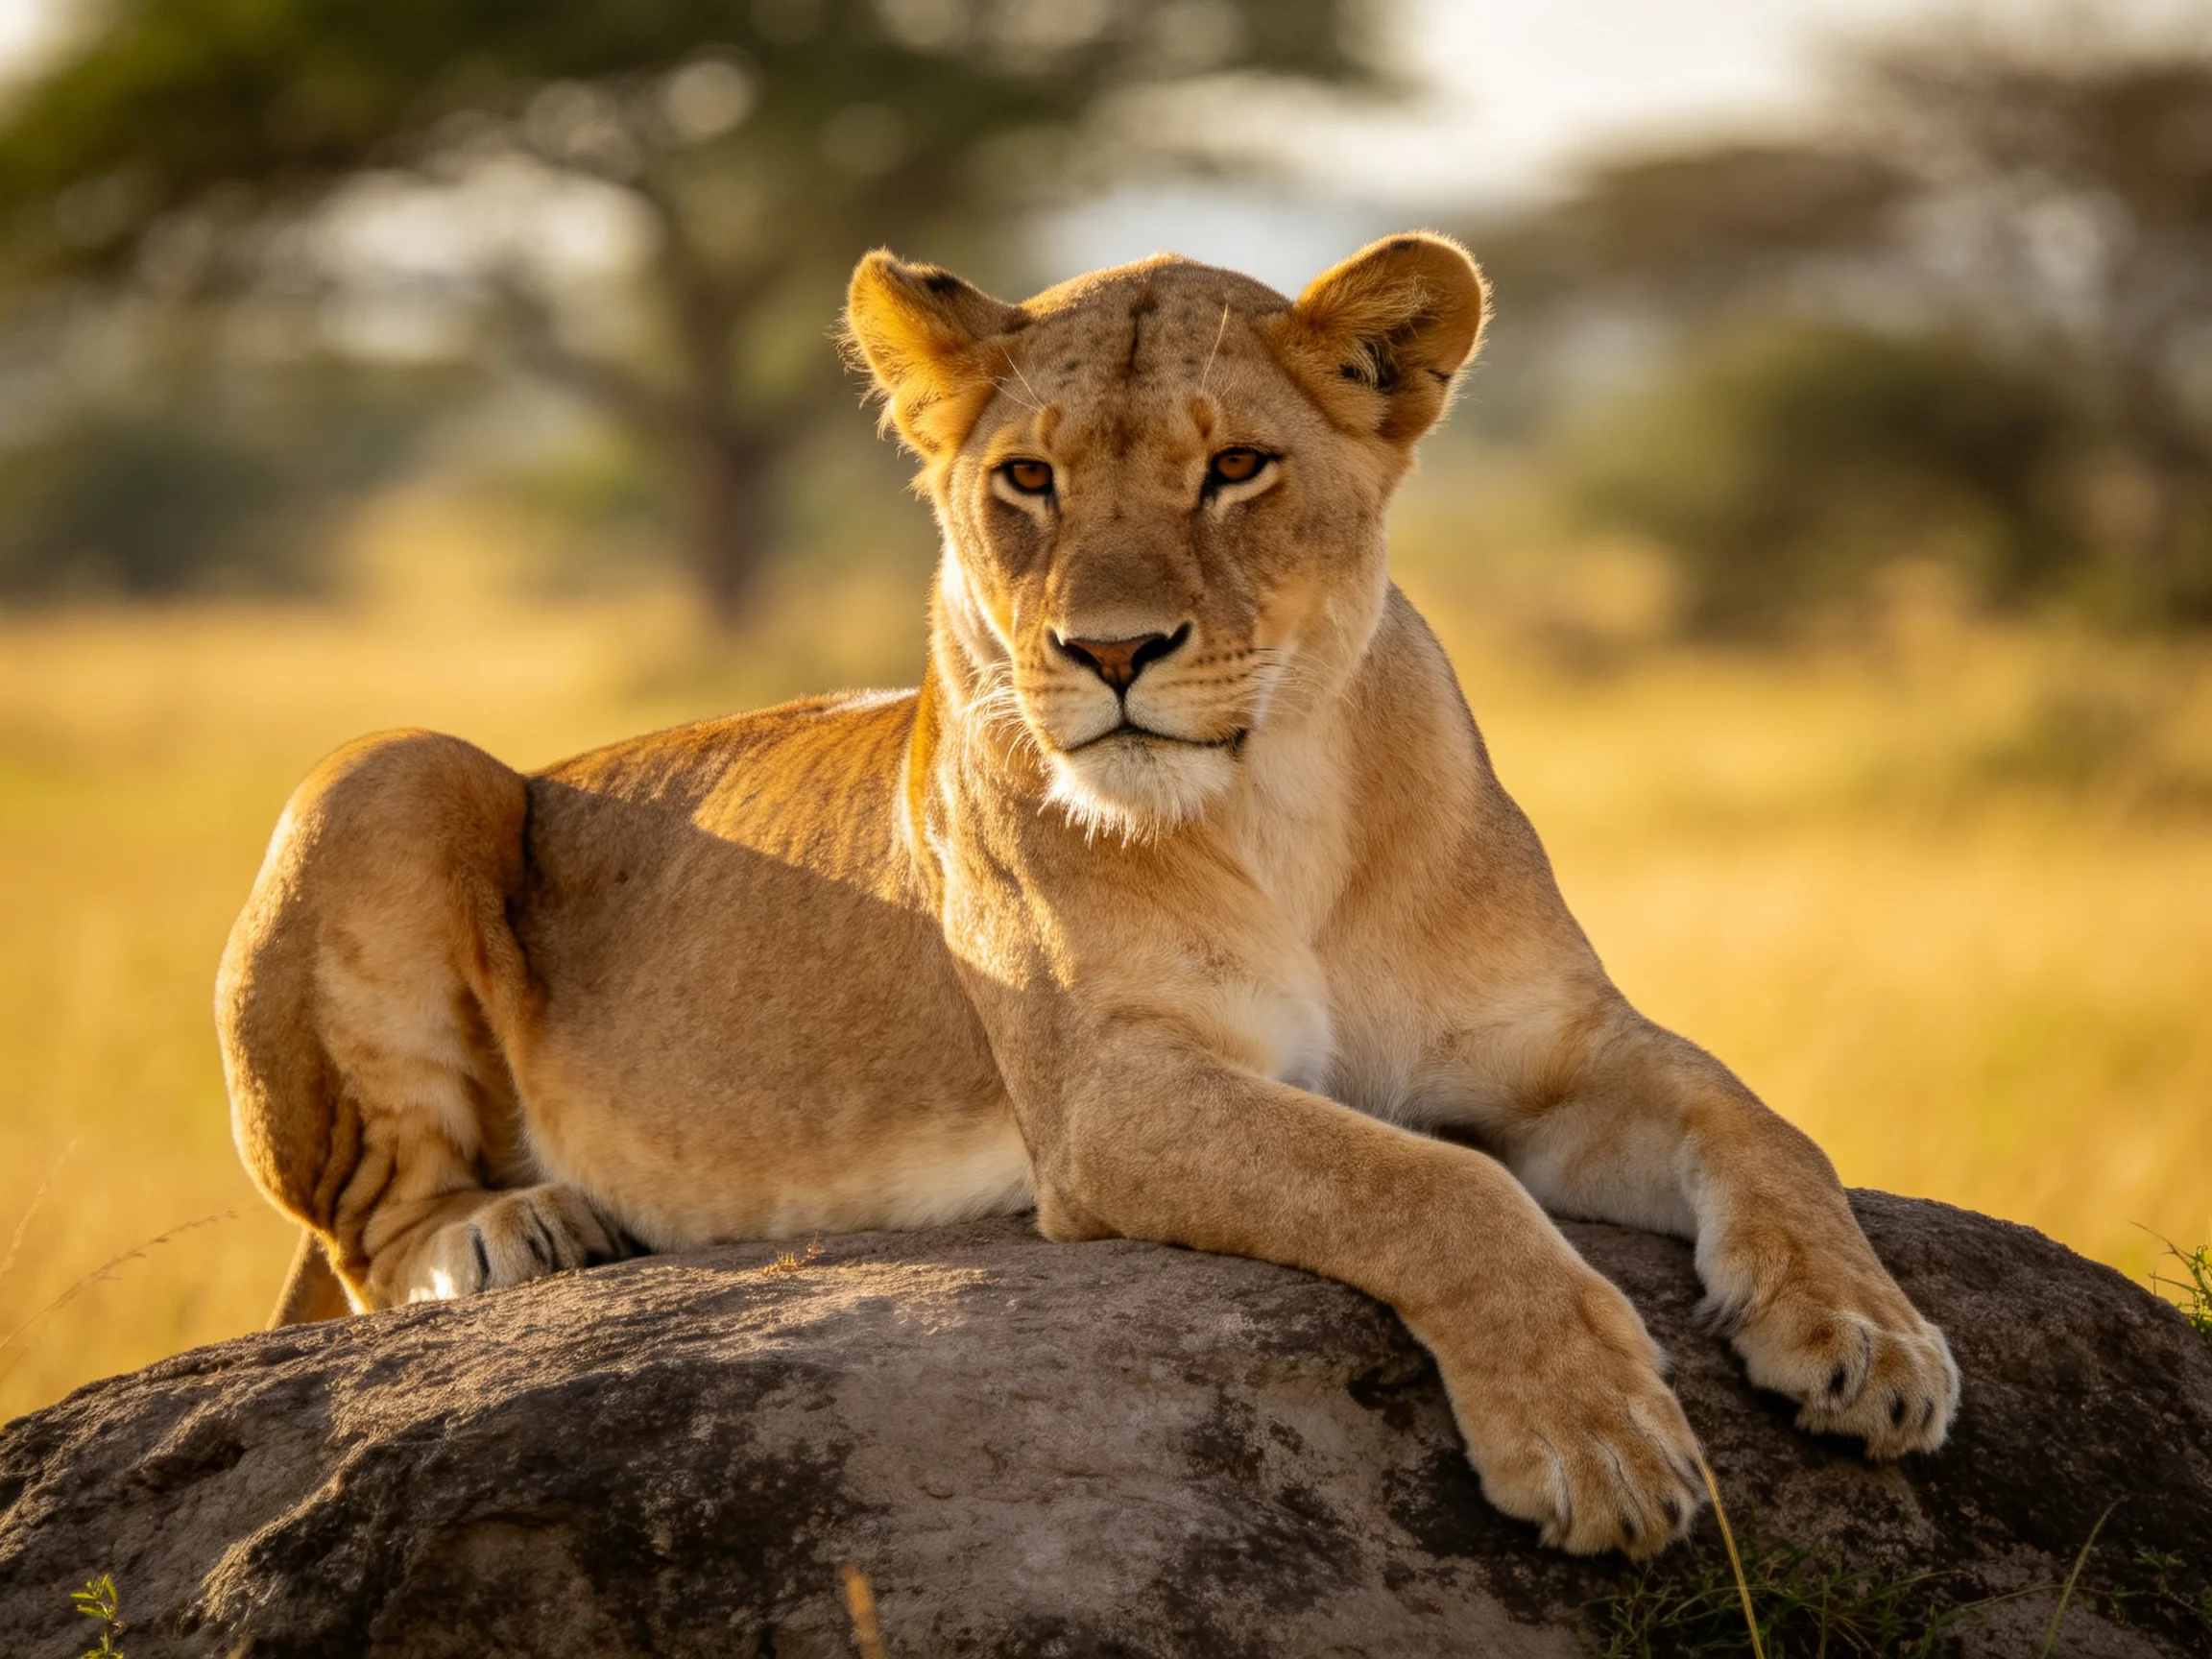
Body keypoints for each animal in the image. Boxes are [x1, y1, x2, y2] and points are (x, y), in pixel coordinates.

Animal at [216, 232, 1958, 1557]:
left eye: (1236, 467)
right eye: (1029, 480)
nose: (1111, 652)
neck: (1280, 804)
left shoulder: (1549, 1051)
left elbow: (1761, 1120)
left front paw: (1869, 1343)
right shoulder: (1112, 1098)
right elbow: (1430, 1184)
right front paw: (1595, 1437)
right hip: (396, 764)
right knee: (368, 1231)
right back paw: (513, 1228)